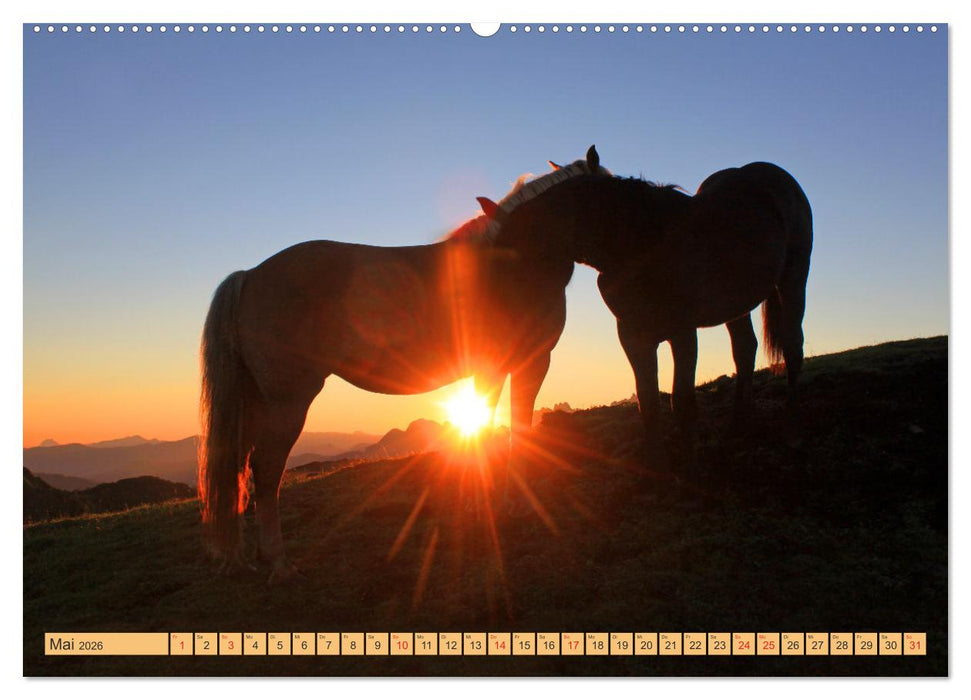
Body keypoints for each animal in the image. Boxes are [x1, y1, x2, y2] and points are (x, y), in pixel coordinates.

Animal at [198, 147, 608, 583]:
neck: (518, 258)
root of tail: (251, 275)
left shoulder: (493, 369)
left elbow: (486, 429)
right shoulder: (531, 363)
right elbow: (517, 430)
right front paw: (513, 505)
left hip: (256, 401)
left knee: (239, 466)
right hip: (288, 402)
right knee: (266, 468)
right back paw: (279, 561)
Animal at [481, 161, 813, 465]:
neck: (643, 242)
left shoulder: (682, 332)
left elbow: (681, 398)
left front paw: (688, 462)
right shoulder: (633, 336)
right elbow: (647, 399)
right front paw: (655, 461)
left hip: (793, 279)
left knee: (793, 345)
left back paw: (794, 426)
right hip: (737, 305)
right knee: (745, 350)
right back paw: (739, 424)